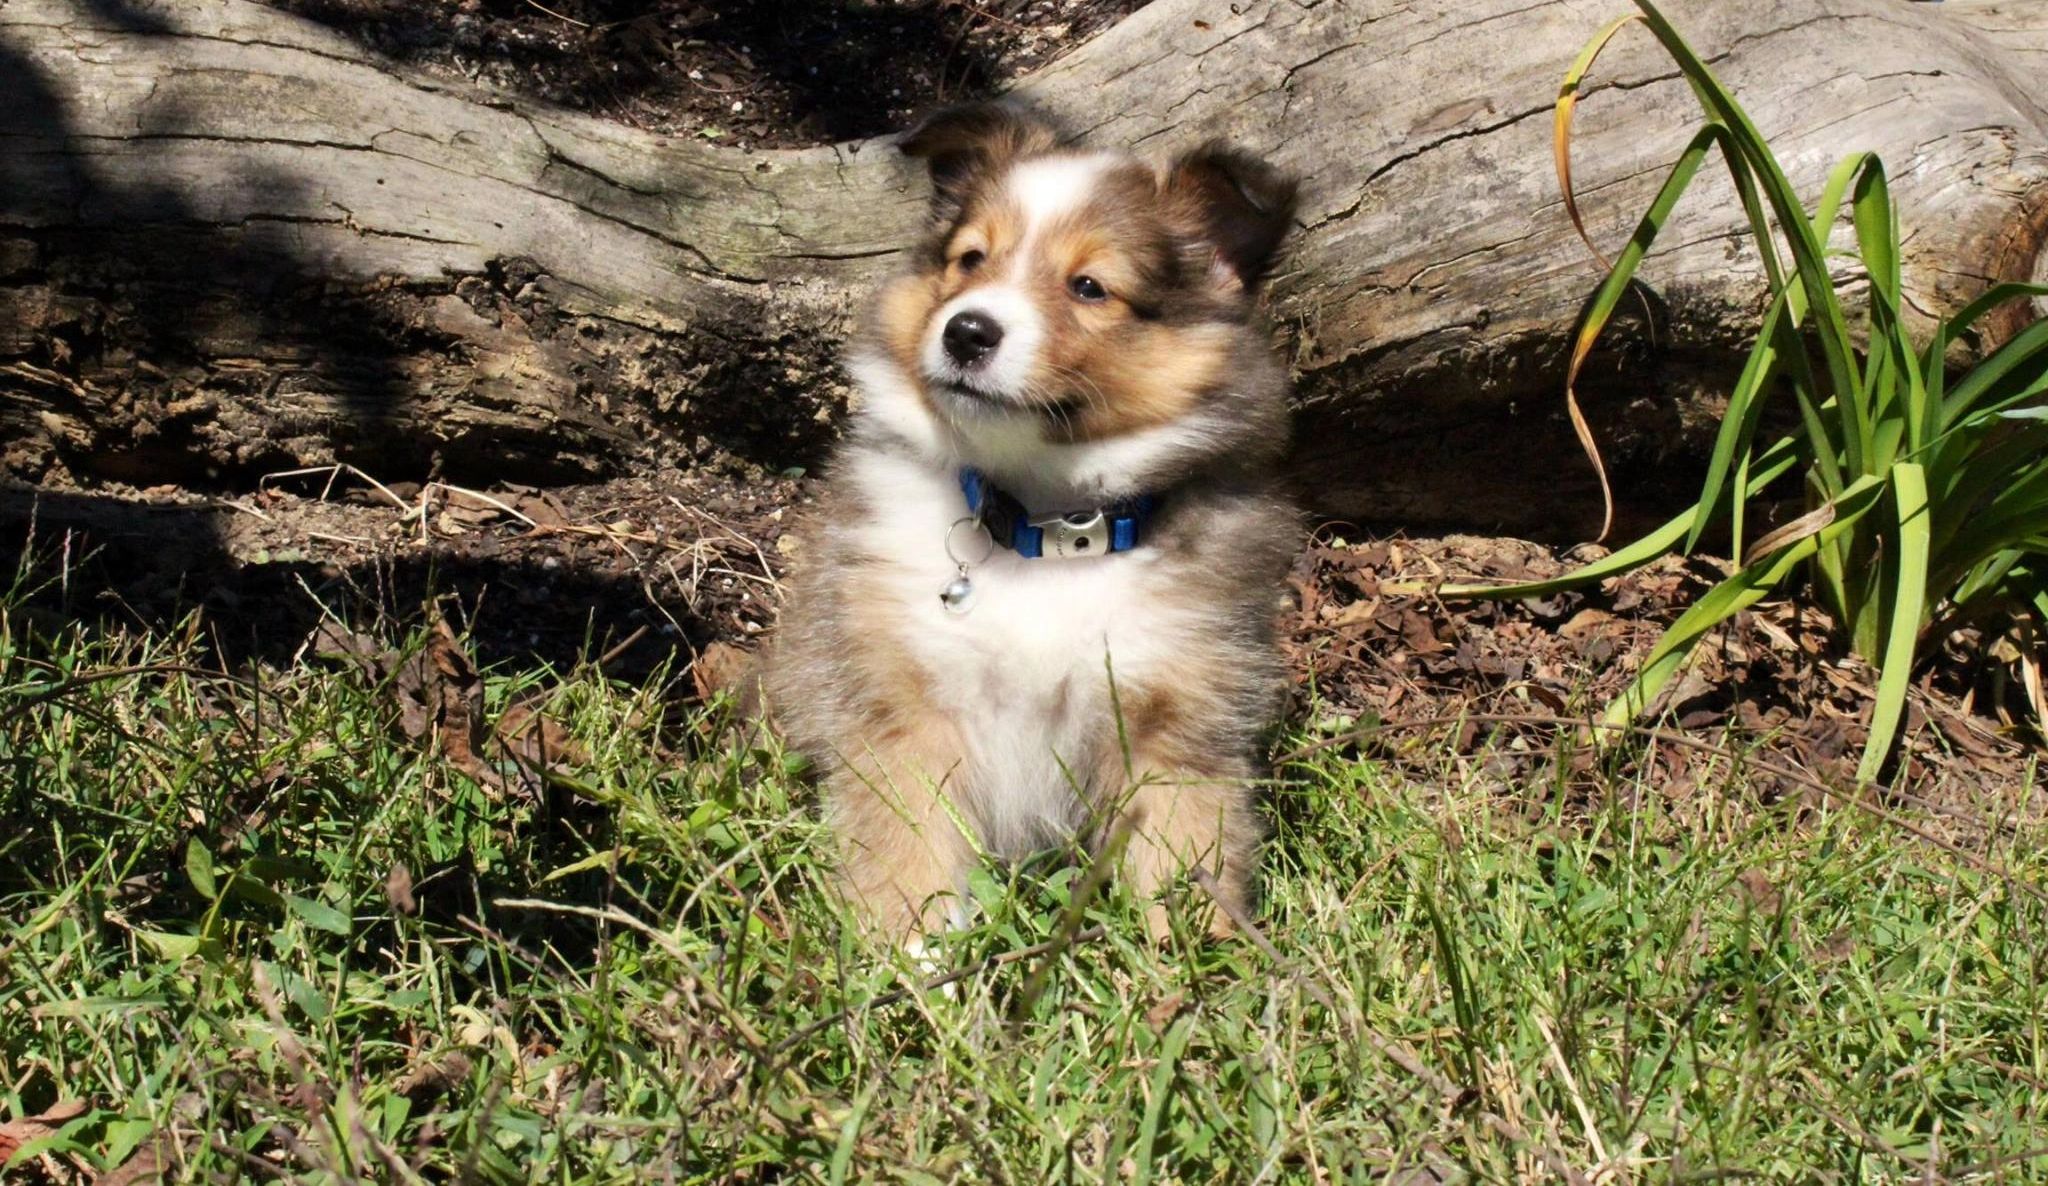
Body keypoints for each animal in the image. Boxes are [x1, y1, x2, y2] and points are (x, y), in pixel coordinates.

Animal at [770, 97, 1294, 942]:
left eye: (1089, 287)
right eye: (970, 259)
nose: (966, 331)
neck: (1045, 532)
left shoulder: (1176, 715)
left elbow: (1184, 862)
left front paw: (1198, 966)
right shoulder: (900, 703)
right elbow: (907, 850)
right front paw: (912, 965)